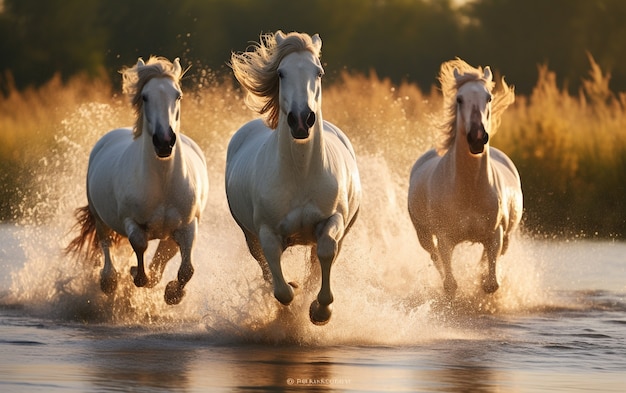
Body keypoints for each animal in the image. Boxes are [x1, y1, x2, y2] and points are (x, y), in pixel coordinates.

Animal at [65, 56, 208, 304]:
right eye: (145, 96)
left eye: (178, 95)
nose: (164, 141)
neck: (162, 184)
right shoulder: (132, 222)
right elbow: (140, 249)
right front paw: (135, 274)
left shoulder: (187, 226)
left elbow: (186, 270)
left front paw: (173, 293)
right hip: (100, 219)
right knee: (106, 244)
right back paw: (109, 280)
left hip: (168, 235)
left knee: (163, 256)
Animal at [225, 31, 360, 324]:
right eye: (281, 73)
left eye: (318, 72)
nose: (301, 120)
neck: (301, 172)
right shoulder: (266, 233)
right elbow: (281, 288)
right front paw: (292, 297)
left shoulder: (333, 220)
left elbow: (325, 252)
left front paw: (320, 310)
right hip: (250, 235)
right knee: (266, 268)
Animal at [408, 58, 520, 298]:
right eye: (459, 99)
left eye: (489, 97)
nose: (477, 138)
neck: (469, 190)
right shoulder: (444, 237)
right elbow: (450, 284)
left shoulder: (495, 235)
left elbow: (490, 284)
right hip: (424, 236)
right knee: (435, 258)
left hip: (507, 237)